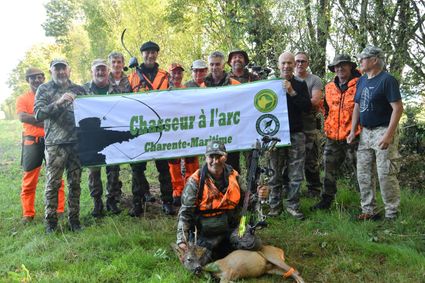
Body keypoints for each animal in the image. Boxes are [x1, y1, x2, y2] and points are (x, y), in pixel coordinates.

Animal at [172, 242, 304, 283]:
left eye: (200, 257)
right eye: (189, 259)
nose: (198, 268)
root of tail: (280, 250)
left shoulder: (229, 270)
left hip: (273, 256)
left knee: (296, 271)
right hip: (272, 269)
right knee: (292, 273)